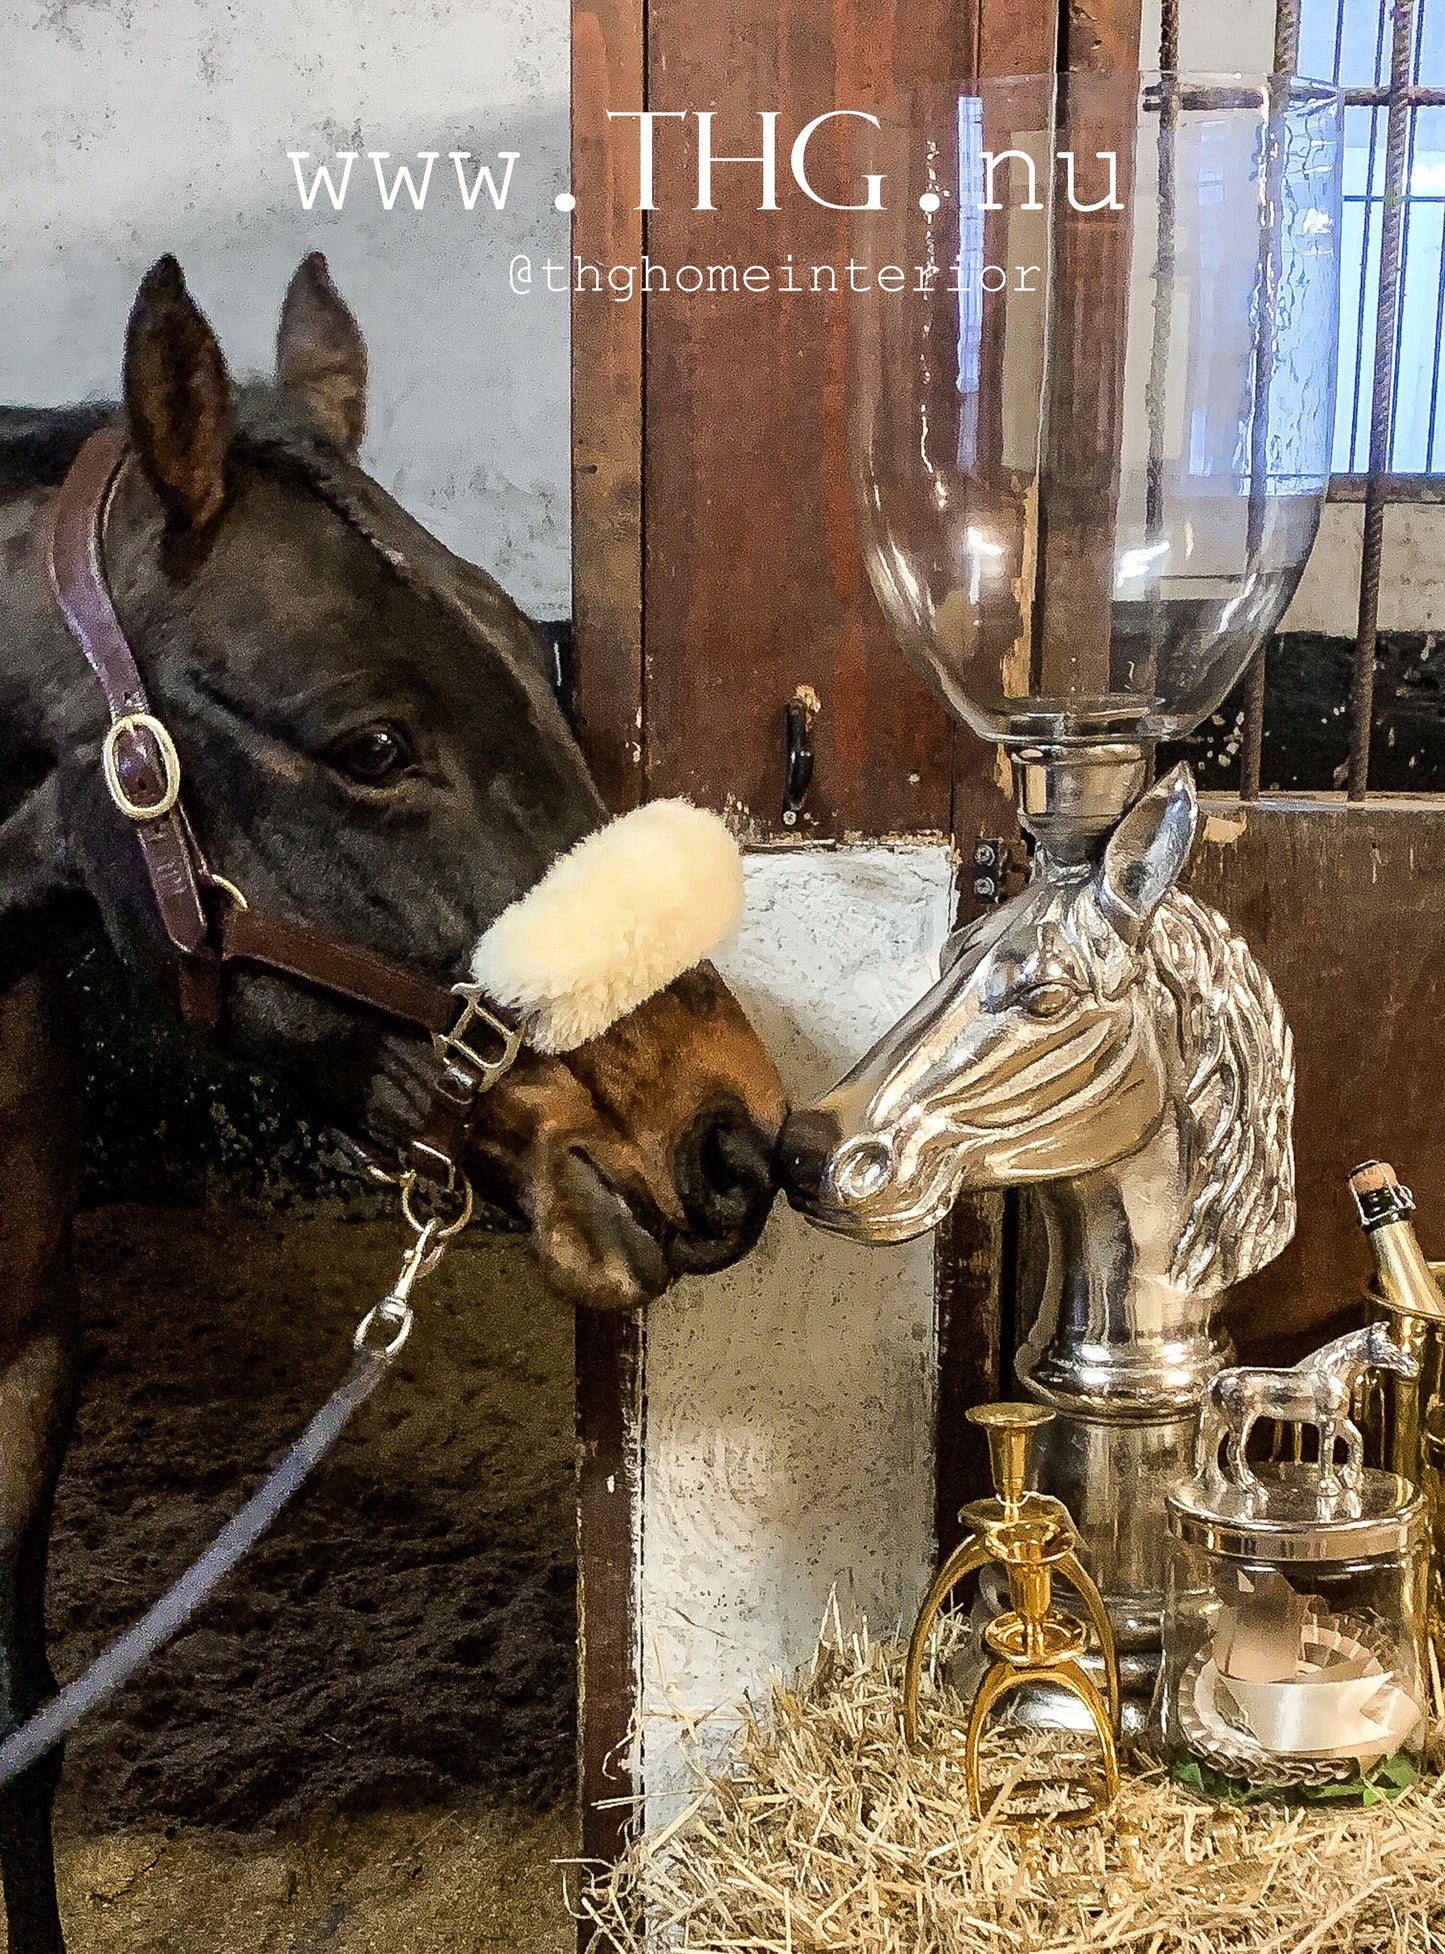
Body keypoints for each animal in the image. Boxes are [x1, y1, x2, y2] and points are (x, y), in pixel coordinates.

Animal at [1187, 1328, 1413, 1492]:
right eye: (1386, 1345)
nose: (1413, 1367)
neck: (1331, 1372)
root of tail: (1218, 1379)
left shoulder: (1339, 1419)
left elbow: (1357, 1439)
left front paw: (1350, 1478)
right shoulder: (1327, 1422)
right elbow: (1326, 1451)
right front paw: (1329, 1486)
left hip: (1221, 1422)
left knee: (1212, 1446)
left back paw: (1220, 1484)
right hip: (1241, 1422)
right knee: (1233, 1450)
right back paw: (1249, 1486)